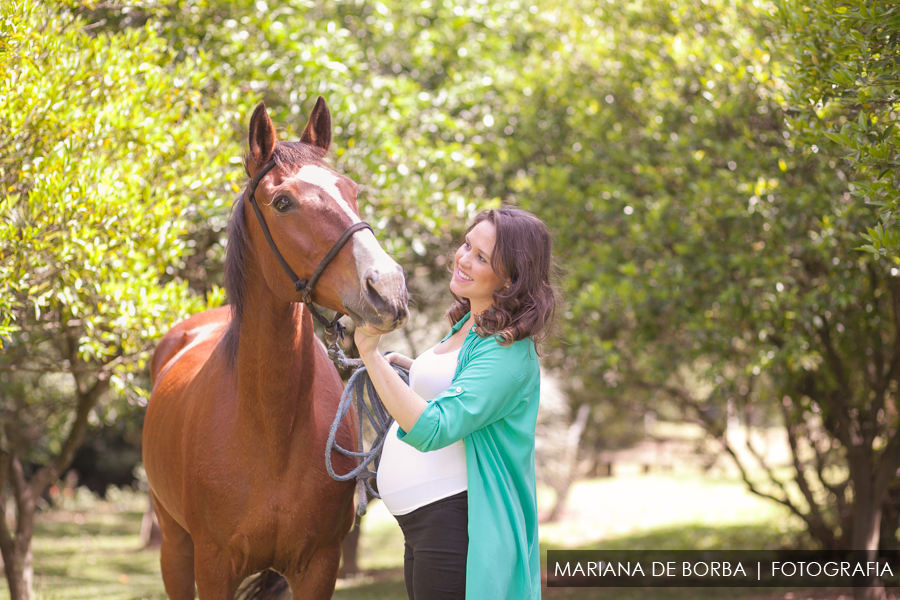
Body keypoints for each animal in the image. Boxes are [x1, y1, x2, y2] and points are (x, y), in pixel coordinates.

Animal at [144, 99, 408, 600]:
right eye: (283, 202)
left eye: (351, 190)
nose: (388, 288)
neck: (271, 429)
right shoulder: (213, 566)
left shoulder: (319, 566)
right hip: (173, 547)